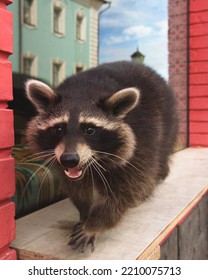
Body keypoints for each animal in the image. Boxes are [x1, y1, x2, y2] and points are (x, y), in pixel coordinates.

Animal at [25, 61, 178, 254]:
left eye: (89, 130)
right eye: (59, 129)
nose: (69, 159)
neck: (83, 90)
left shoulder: (141, 141)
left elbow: (124, 192)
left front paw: (94, 224)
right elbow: (77, 189)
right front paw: (85, 213)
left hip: (167, 125)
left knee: (155, 164)